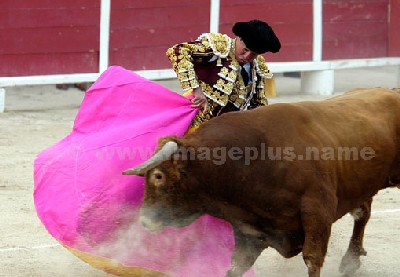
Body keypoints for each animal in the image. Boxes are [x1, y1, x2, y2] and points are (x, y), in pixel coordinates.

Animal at [122, 88, 400, 276]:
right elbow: (235, 266)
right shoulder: (250, 230)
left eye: (158, 176)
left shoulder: (317, 211)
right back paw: (351, 261)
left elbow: (313, 259)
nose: (144, 221)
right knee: (362, 213)